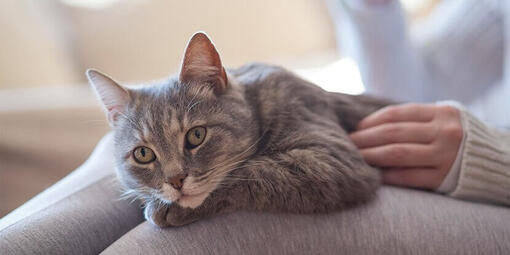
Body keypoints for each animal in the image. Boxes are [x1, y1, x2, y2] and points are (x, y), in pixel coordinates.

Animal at [86, 31, 390, 227]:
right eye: (143, 154)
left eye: (196, 135)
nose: (175, 181)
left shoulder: (332, 159)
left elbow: (254, 170)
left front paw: (164, 209)